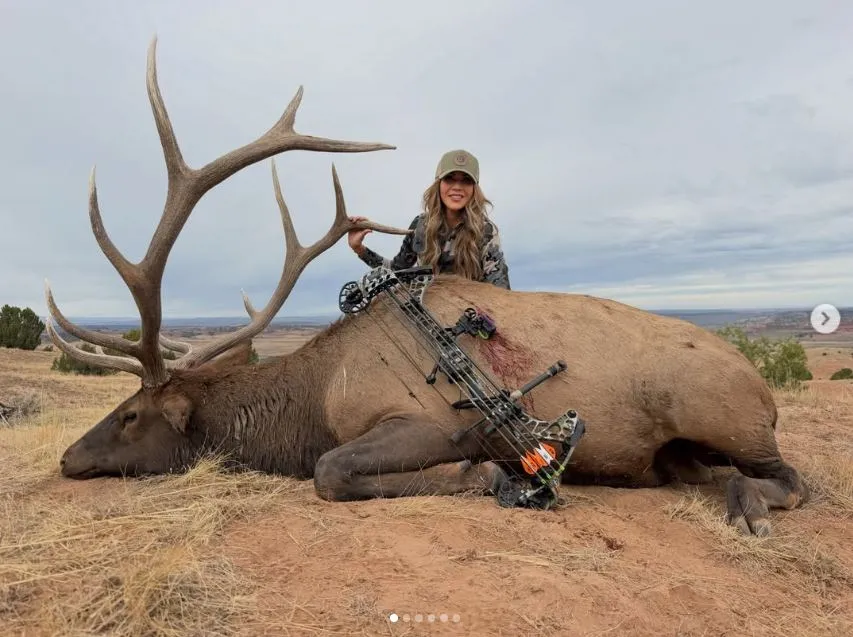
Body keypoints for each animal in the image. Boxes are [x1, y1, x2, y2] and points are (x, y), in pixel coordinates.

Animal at [47, 38, 807, 538]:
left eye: (130, 415)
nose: (66, 457)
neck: (312, 399)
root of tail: (764, 389)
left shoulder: (429, 423)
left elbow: (331, 470)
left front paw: (485, 478)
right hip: (681, 451)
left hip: (718, 411)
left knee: (795, 478)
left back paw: (747, 507)